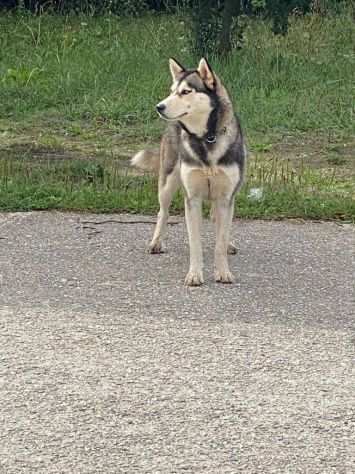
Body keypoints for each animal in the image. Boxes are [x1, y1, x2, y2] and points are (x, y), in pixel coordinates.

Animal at [132, 56, 246, 286]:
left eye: (186, 91)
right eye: (171, 90)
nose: (159, 106)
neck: (207, 138)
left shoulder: (226, 198)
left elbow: (220, 240)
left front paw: (223, 271)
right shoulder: (192, 198)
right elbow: (195, 243)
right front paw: (194, 274)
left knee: (218, 220)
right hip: (167, 184)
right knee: (163, 212)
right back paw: (156, 242)